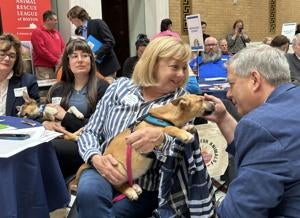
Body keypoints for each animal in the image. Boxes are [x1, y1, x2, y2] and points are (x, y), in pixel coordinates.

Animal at [72, 94, 213, 200]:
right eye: (201, 100)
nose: (214, 104)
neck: (168, 115)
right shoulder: (153, 131)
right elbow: (170, 128)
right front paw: (185, 134)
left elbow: (178, 127)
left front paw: (188, 127)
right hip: (119, 169)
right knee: (116, 185)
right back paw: (130, 191)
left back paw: (134, 187)